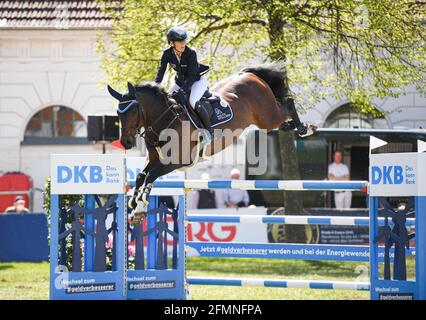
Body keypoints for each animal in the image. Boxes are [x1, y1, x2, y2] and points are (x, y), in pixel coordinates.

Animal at [108, 62, 318, 212]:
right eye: (118, 113)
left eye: (134, 111)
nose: (126, 142)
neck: (165, 118)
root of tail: (248, 74)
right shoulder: (154, 158)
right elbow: (141, 175)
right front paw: (133, 202)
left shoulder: (178, 160)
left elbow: (151, 175)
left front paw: (142, 198)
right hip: (265, 120)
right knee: (283, 115)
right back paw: (292, 126)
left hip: (267, 117)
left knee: (288, 103)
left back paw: (305, 128)